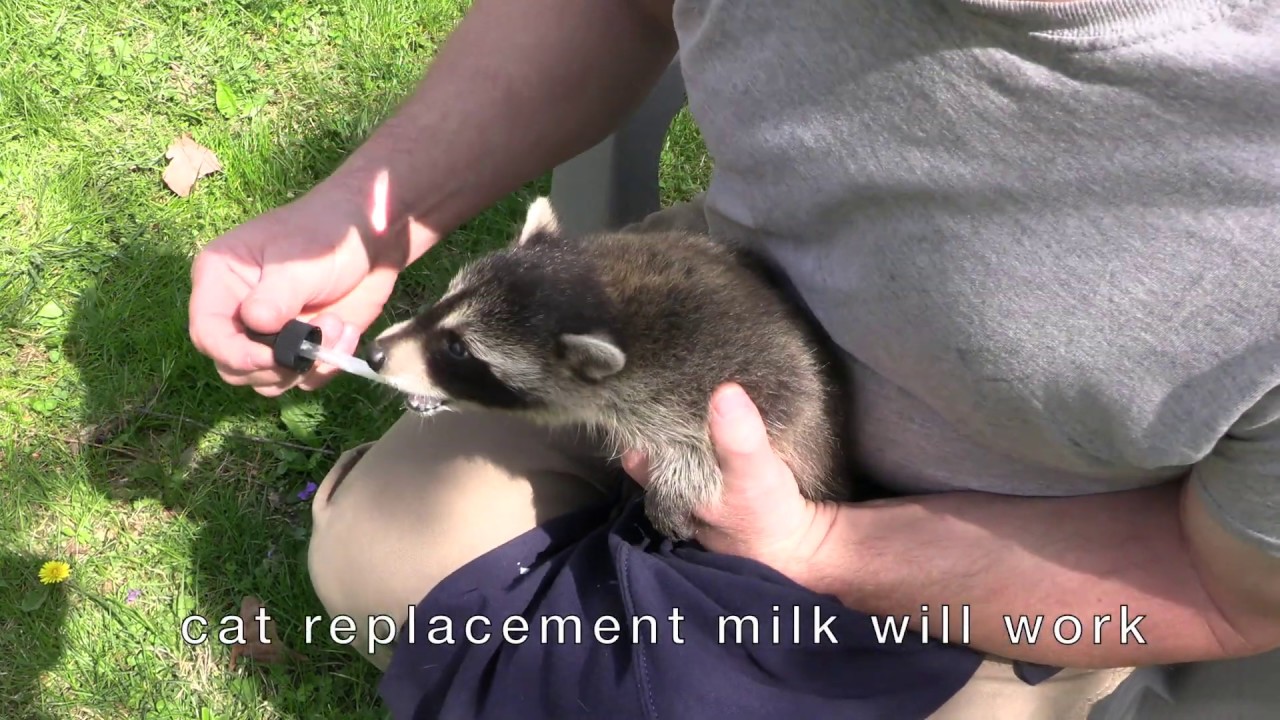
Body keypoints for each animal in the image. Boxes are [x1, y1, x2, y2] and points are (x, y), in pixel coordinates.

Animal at [366, 197, 853, 540]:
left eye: (458, 349)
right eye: (445, 301)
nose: (374, 354)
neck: (608, 301)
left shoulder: (735, 383)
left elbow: (713, 445)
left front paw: (679, 483)